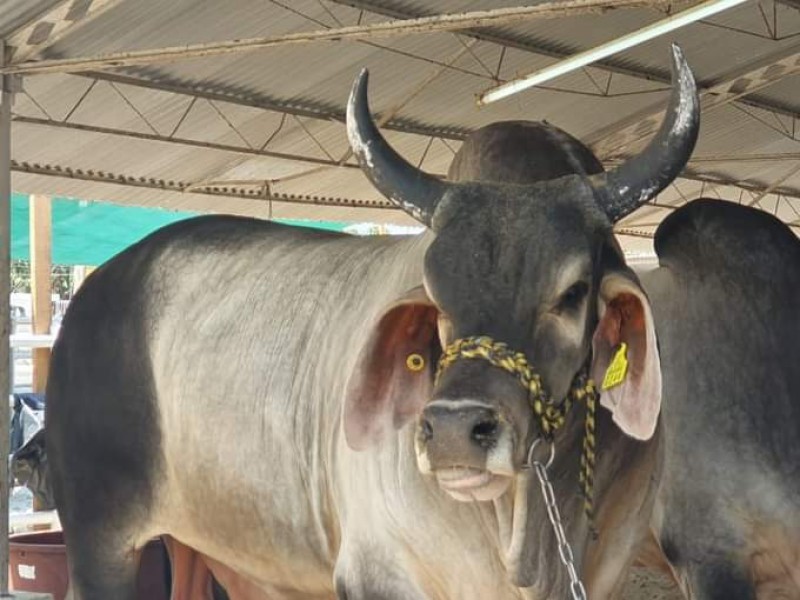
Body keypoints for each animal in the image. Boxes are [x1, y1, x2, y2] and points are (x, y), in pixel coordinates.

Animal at [43, 45, 792, 600]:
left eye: (574, 291)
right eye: (434, 293)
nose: (456, 432)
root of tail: (98, 287)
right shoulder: (383, 572)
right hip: (99, 538)